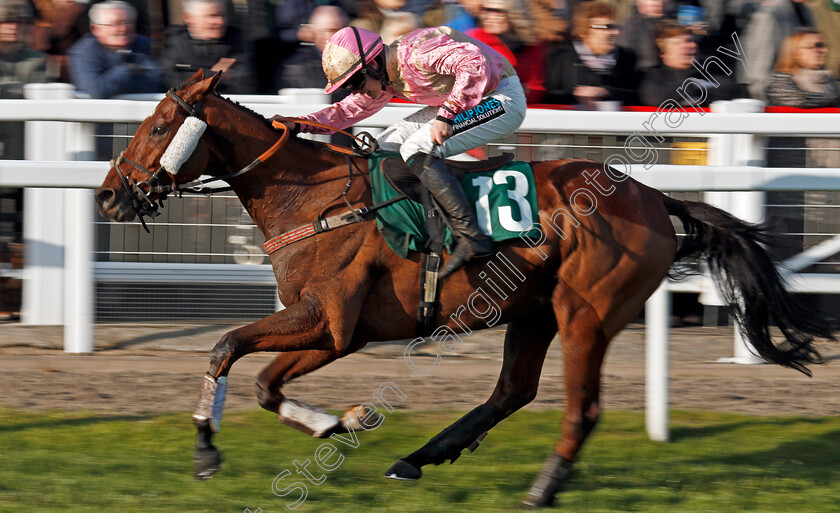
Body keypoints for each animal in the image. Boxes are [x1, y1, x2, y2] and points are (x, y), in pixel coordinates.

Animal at [95, 70, 832, 506]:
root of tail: (653, 198)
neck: (315, 198)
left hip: (586, 313)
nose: (108, 195)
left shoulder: (328, 321)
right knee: (512, 392)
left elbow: (226, 347)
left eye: (158, 127)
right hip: (533, 312)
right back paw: (418, 457)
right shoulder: (332, 330)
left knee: (580, 407)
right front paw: (341, 421)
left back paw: (542, 486)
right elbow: (262, 383)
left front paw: (206, 450)